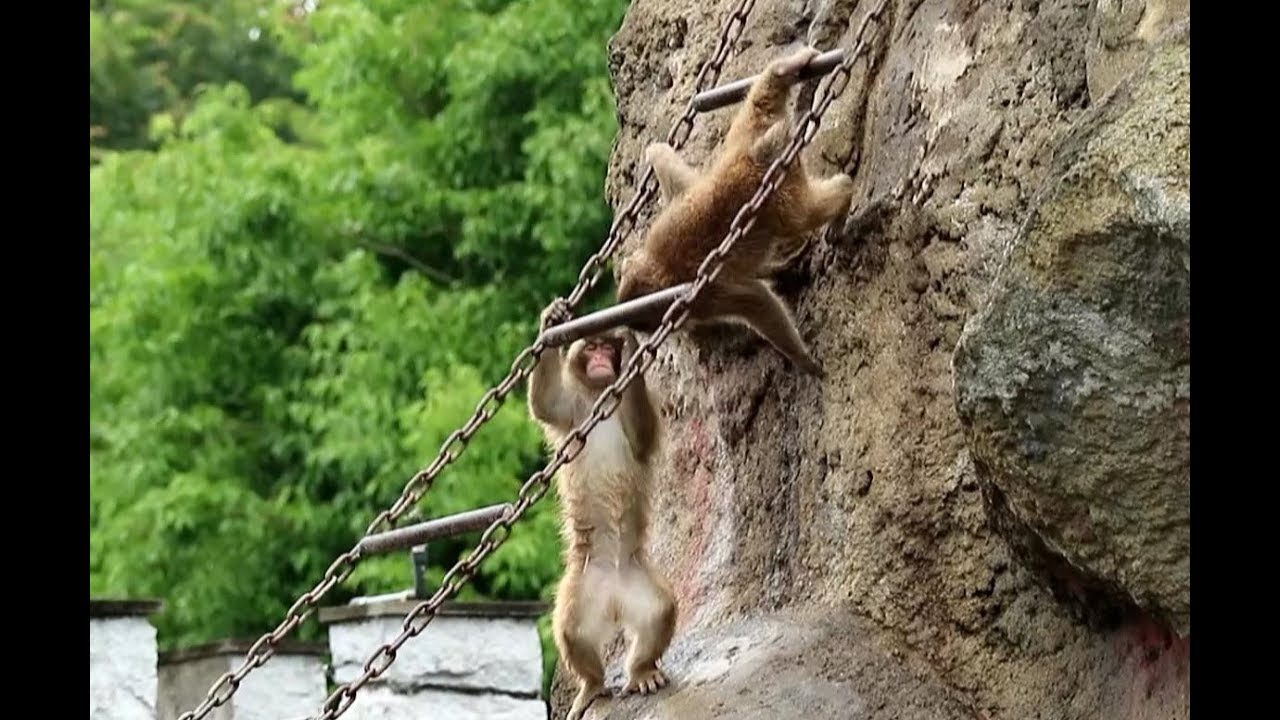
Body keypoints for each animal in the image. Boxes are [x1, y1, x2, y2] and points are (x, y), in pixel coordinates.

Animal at [528, 298, 677, 720]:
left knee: (661, 611)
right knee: (571, 631)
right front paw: (551, 319)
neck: (601, 394)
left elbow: (643, 440)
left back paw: (642, 671)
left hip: (638, 581)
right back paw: (593, 684)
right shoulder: (574, 411)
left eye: (607, 347)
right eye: (591, 347)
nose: (600, 360)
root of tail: (614, 599)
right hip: (583, 587)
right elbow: (545, 404)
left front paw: (633, 352)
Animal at [616, 45, 856, 377]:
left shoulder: (703, 297)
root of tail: (752, 158)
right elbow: (668, 164)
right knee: (759, 102)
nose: (680, 330)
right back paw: (783, 70)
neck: (658, 268)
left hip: (780, 198)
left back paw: (843, 196)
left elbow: (757, 302)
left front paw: (803, 360)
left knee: (806, 215)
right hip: (747, 135)